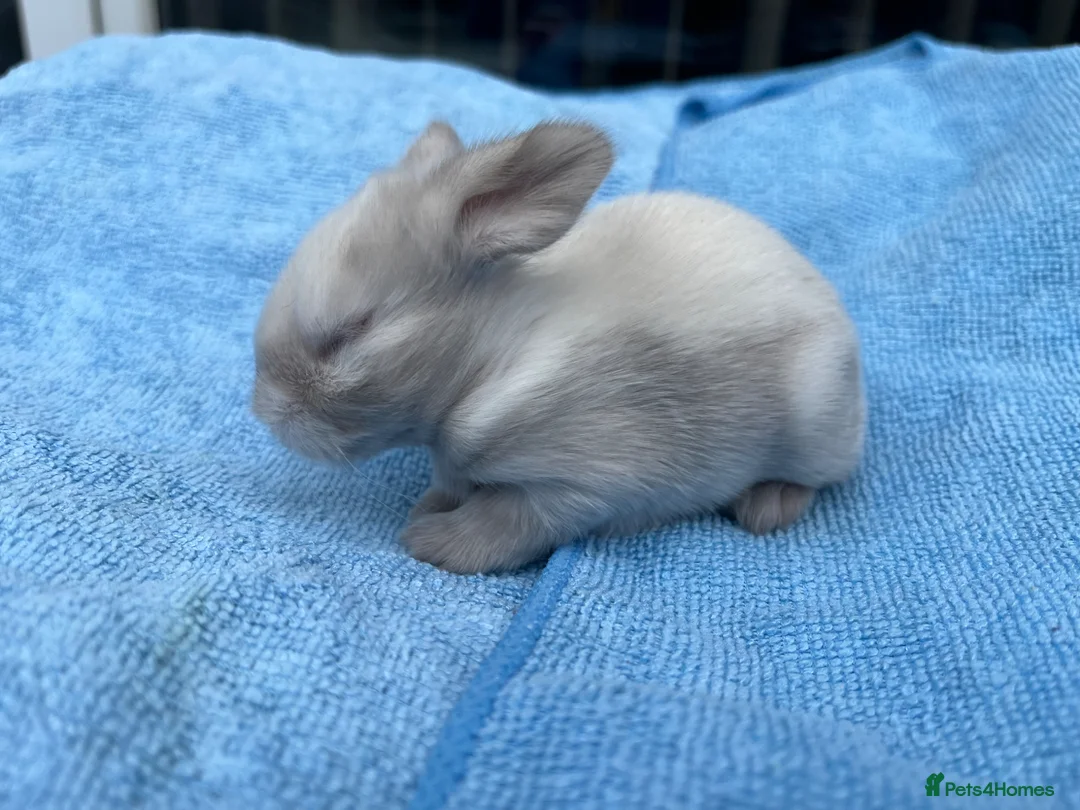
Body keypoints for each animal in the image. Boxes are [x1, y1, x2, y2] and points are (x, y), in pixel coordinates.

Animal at [252, 119, 866, 574]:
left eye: (348, 333)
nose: (263, 412)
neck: (492, 356)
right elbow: (452, 484)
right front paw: (430, 505)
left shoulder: (583, 482)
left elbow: (508, 523)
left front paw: (430, 539)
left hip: (814, 423)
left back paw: (768, 504)